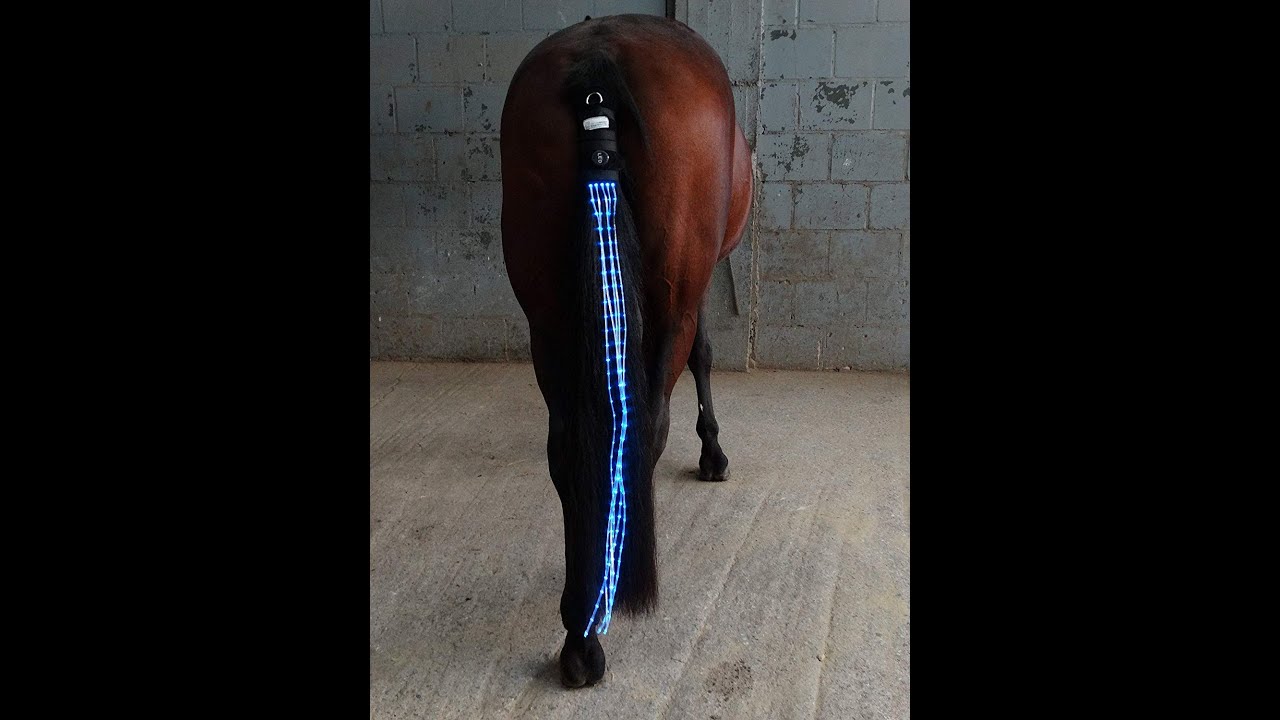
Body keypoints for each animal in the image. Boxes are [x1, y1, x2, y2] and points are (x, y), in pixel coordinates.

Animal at [500, 14, 753, 687]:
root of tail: (597, 64)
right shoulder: (697, 290)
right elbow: (705, 355)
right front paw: (713, 452)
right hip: (672, 298)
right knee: (645, 427)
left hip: (548, 323)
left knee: (568, 449)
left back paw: (580, 623)